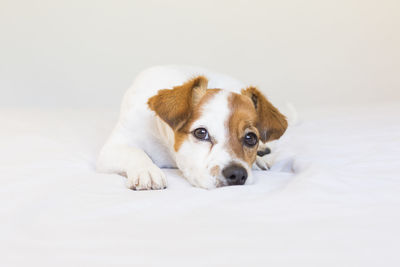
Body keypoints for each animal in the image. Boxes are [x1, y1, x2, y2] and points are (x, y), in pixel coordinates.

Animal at [98, 66, 290, 191]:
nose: (237, 174)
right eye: (201, 133)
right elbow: (134, 152)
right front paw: (147, 169)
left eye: (251, 138)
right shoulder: (112, 148)